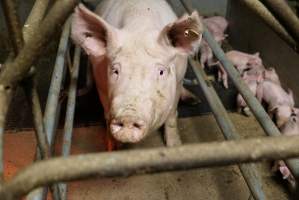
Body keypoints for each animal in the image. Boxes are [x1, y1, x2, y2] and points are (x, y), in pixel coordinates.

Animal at [71, 0, 205, 150]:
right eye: (115, 70)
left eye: (161, 71)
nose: (128, 117)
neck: (139, 25)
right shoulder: (100, 83)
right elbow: (106, 113)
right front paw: (114, 148)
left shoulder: (178, 79)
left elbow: (171, 115)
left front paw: (174, 146)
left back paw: (195, 100)